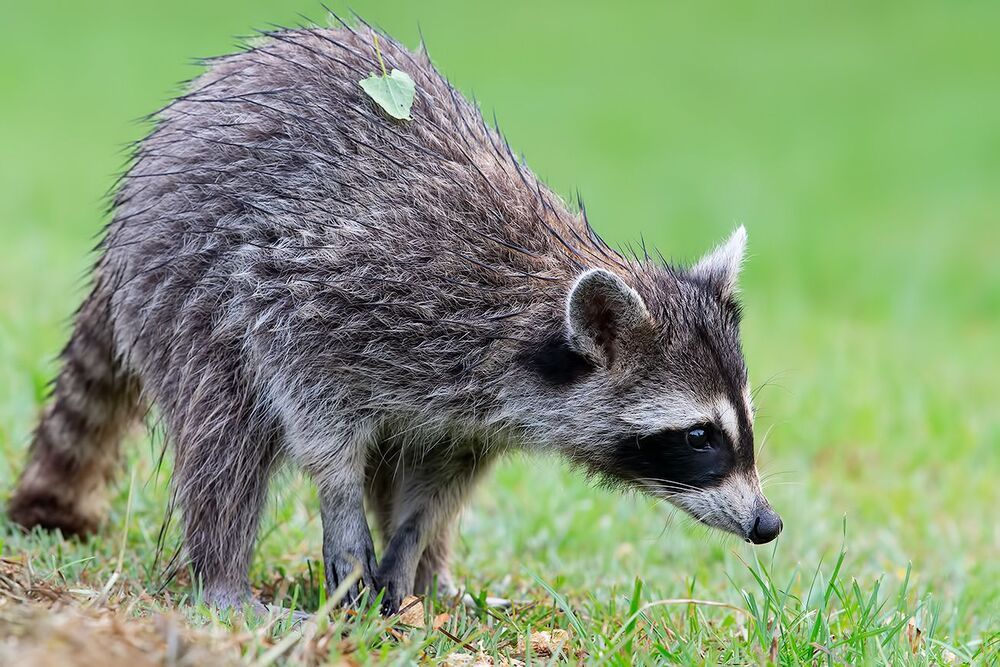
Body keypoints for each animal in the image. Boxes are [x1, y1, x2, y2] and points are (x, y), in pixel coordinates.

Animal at [7, 23, 781, 614]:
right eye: (699, 437)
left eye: (743, 423)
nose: (767, 523)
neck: (534, 306)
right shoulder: (342, 291)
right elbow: (312, 411)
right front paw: (341, 507)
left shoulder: (472, 410)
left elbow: (437, 487)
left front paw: (411, 548)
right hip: (181, 290)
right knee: (224, 431)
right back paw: (224, 578)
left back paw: (433, 578)